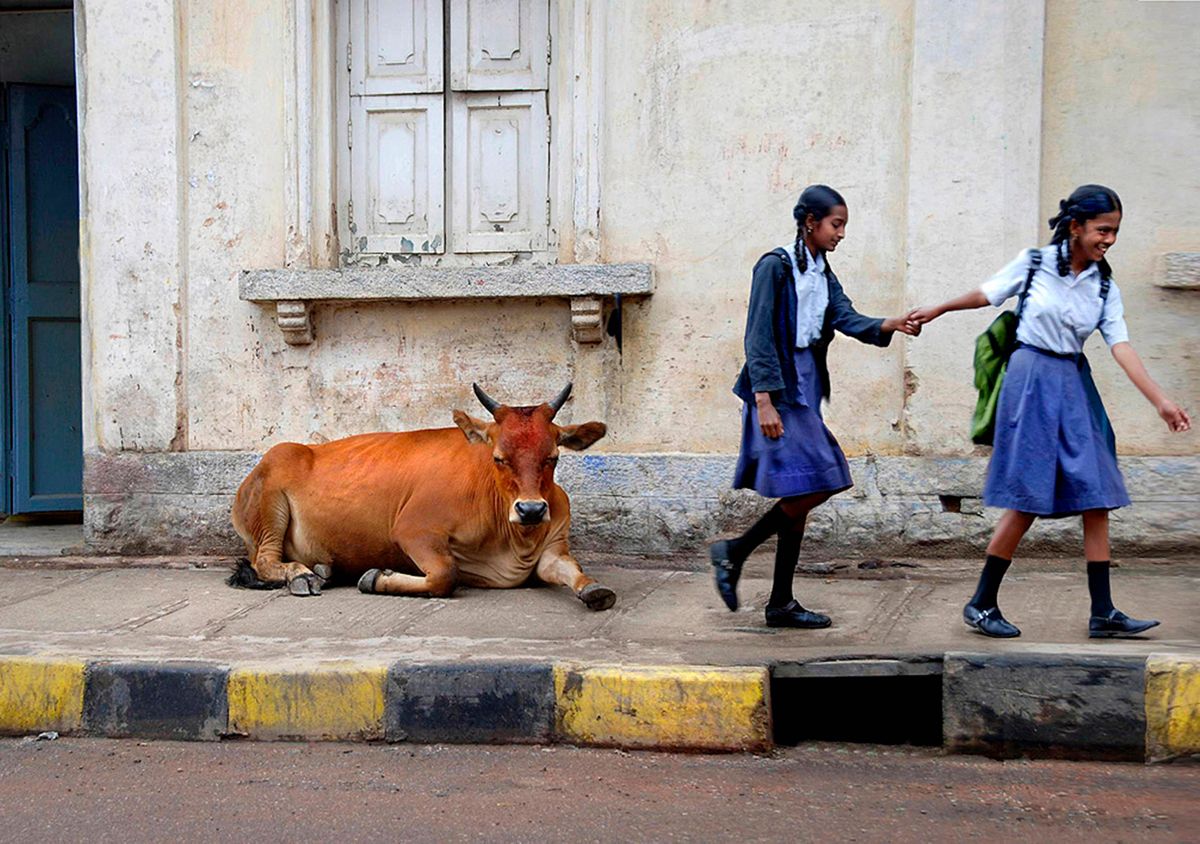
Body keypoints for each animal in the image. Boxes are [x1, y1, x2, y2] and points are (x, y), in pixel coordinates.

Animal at [227, 383, 616, 611]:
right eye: (498, 457)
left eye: (553, 456)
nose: (532, 510)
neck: (514, 538)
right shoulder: (414, 530)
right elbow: (446, 575)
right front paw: (377, 578)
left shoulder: (553, 549)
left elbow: (575, 572)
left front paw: (595, 589)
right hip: (269, 507)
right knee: (264, 561)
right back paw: (301, 575)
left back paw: (323, 570)